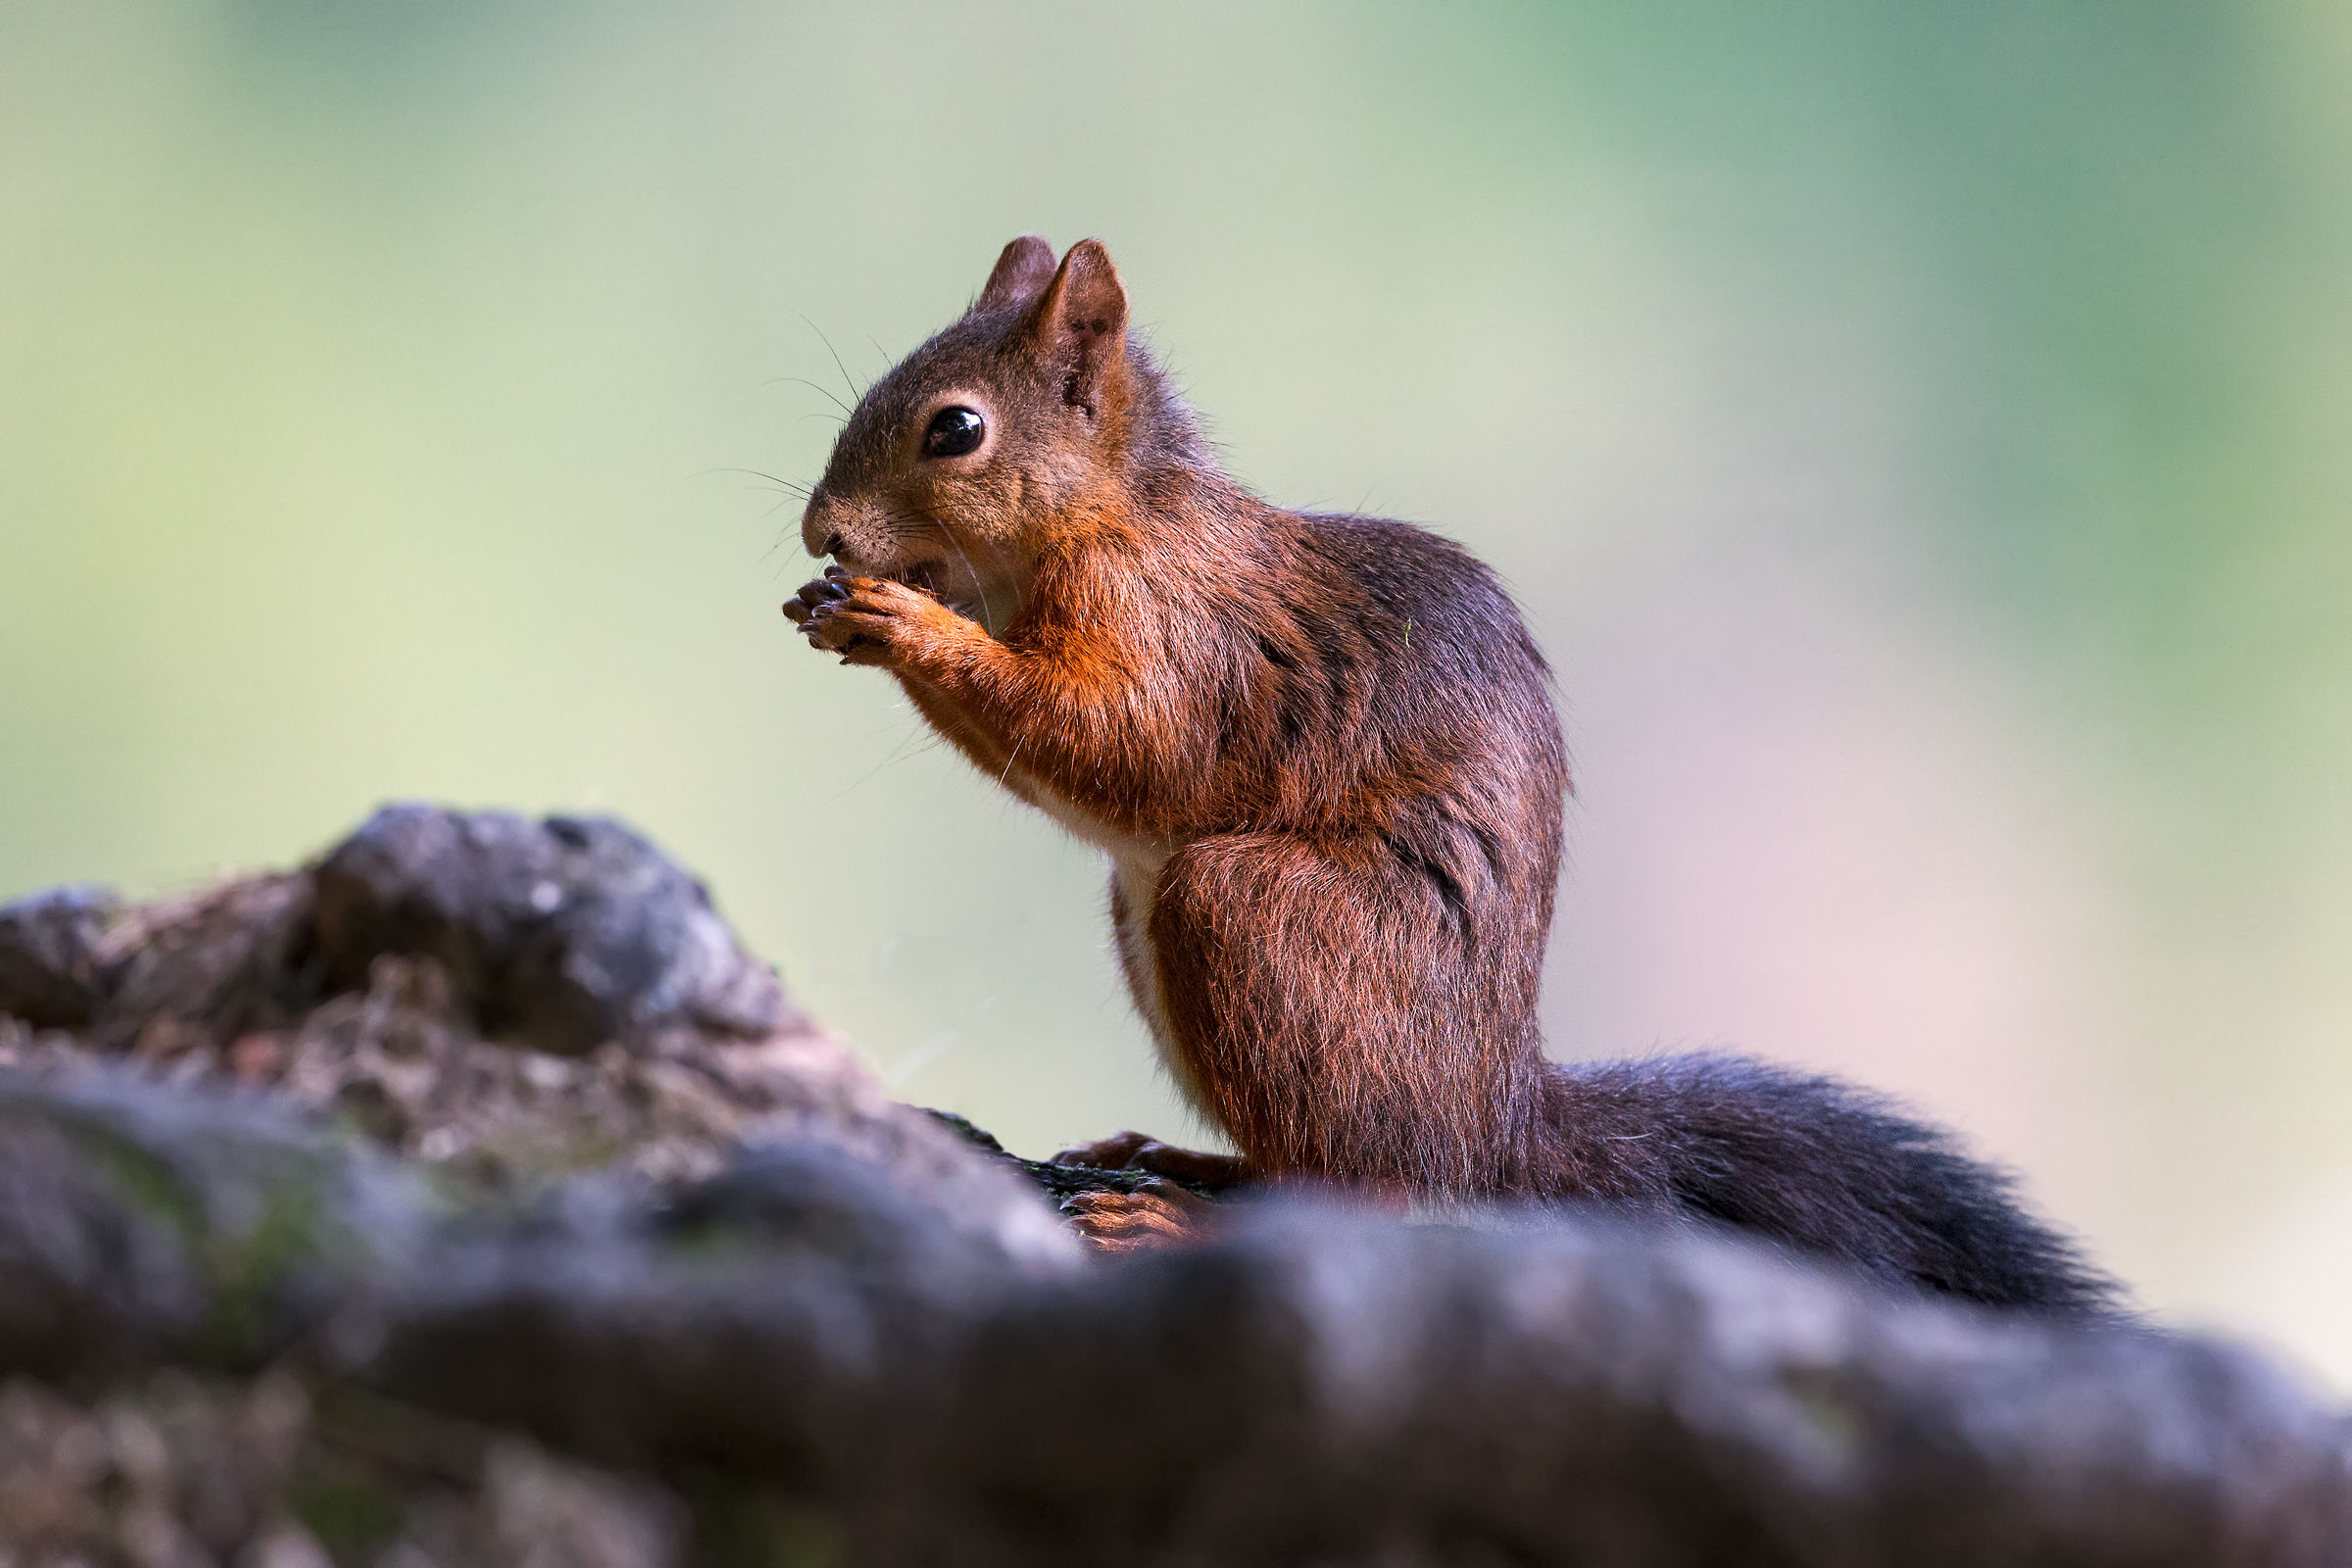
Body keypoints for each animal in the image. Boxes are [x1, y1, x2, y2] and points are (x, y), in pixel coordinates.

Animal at [784, 235, 2116, 1314]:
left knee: (1378, 1190)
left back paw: (1180, 1221)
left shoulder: (1176, 635)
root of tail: (1493, 1119)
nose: (822, 532)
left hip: (1256, 921)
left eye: (956, 429)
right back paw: (1196, 1165)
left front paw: (905, 624)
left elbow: (1116, 740)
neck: (1116, 513)